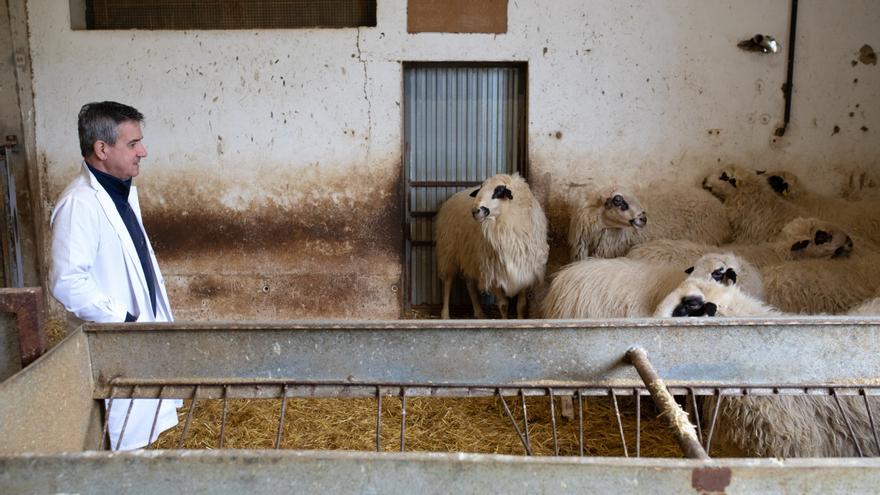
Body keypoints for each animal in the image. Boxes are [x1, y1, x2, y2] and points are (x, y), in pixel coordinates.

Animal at [434, 174, 548, 320]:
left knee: (470, 283)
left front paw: (519, 319)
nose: (475, 211)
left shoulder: (524, 271)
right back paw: (445, 315)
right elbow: (503, 305)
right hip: (448, 251)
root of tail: (454, 196)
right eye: (481, 188)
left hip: (469, 254)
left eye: (498, 191)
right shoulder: (493, 272)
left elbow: (521, 306)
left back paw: (479, 313)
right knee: (448, 282)